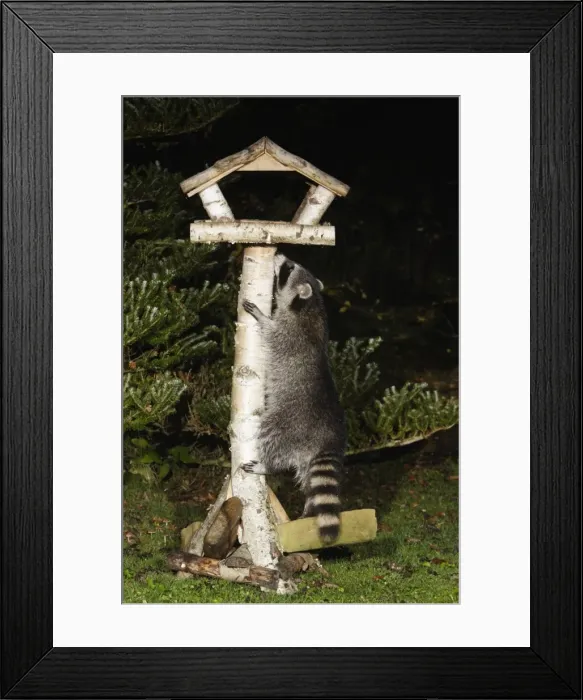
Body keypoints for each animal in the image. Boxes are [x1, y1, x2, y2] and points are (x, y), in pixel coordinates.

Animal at [240, 253, 346, 544]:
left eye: (289, 268)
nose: (279, 255)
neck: (311, 304)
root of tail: (328, 436)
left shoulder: (289, 333)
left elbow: (270, 332)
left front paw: (261, 316)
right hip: (306, 455)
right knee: (309, 479)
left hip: (288, 422)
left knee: (270, 434)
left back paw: (267, 466)